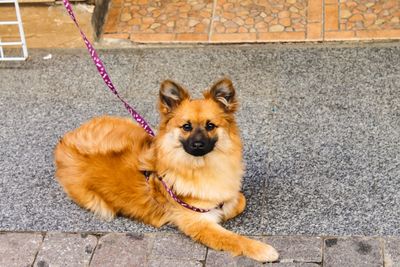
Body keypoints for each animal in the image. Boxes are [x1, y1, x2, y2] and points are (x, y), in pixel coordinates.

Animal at [54, 78, 278, 262]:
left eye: (210, 126)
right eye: (186, 127)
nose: (197, 144)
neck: (200, 165)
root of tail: (64, 142)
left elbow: (239, 200)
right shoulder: (197, 222)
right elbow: (234, 238)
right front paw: (262, 249)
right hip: (98, 203)